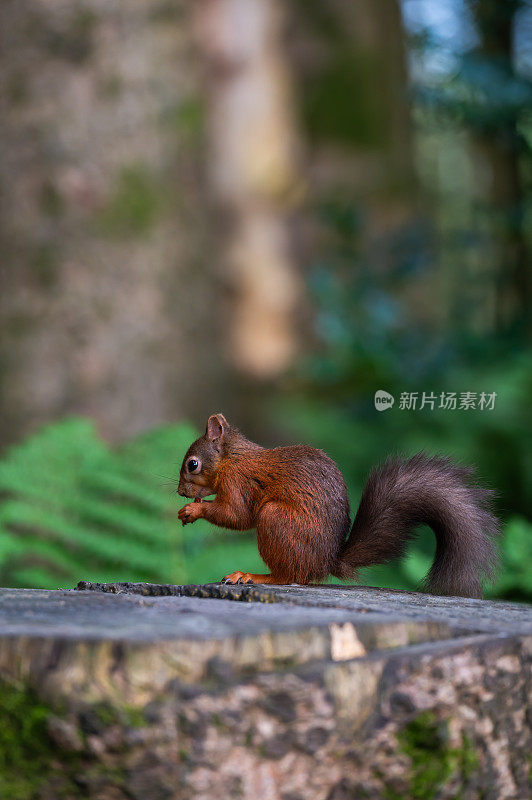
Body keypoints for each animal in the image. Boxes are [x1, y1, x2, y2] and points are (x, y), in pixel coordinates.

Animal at [178, 416, 498, 596]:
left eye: (193, 464)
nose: (181, 492)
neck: (231, 458)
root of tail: (327, 562)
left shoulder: (238, 482)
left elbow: (237, 516)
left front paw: (194, 510)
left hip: (276, 520)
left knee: (289, 577)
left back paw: (252, 576)